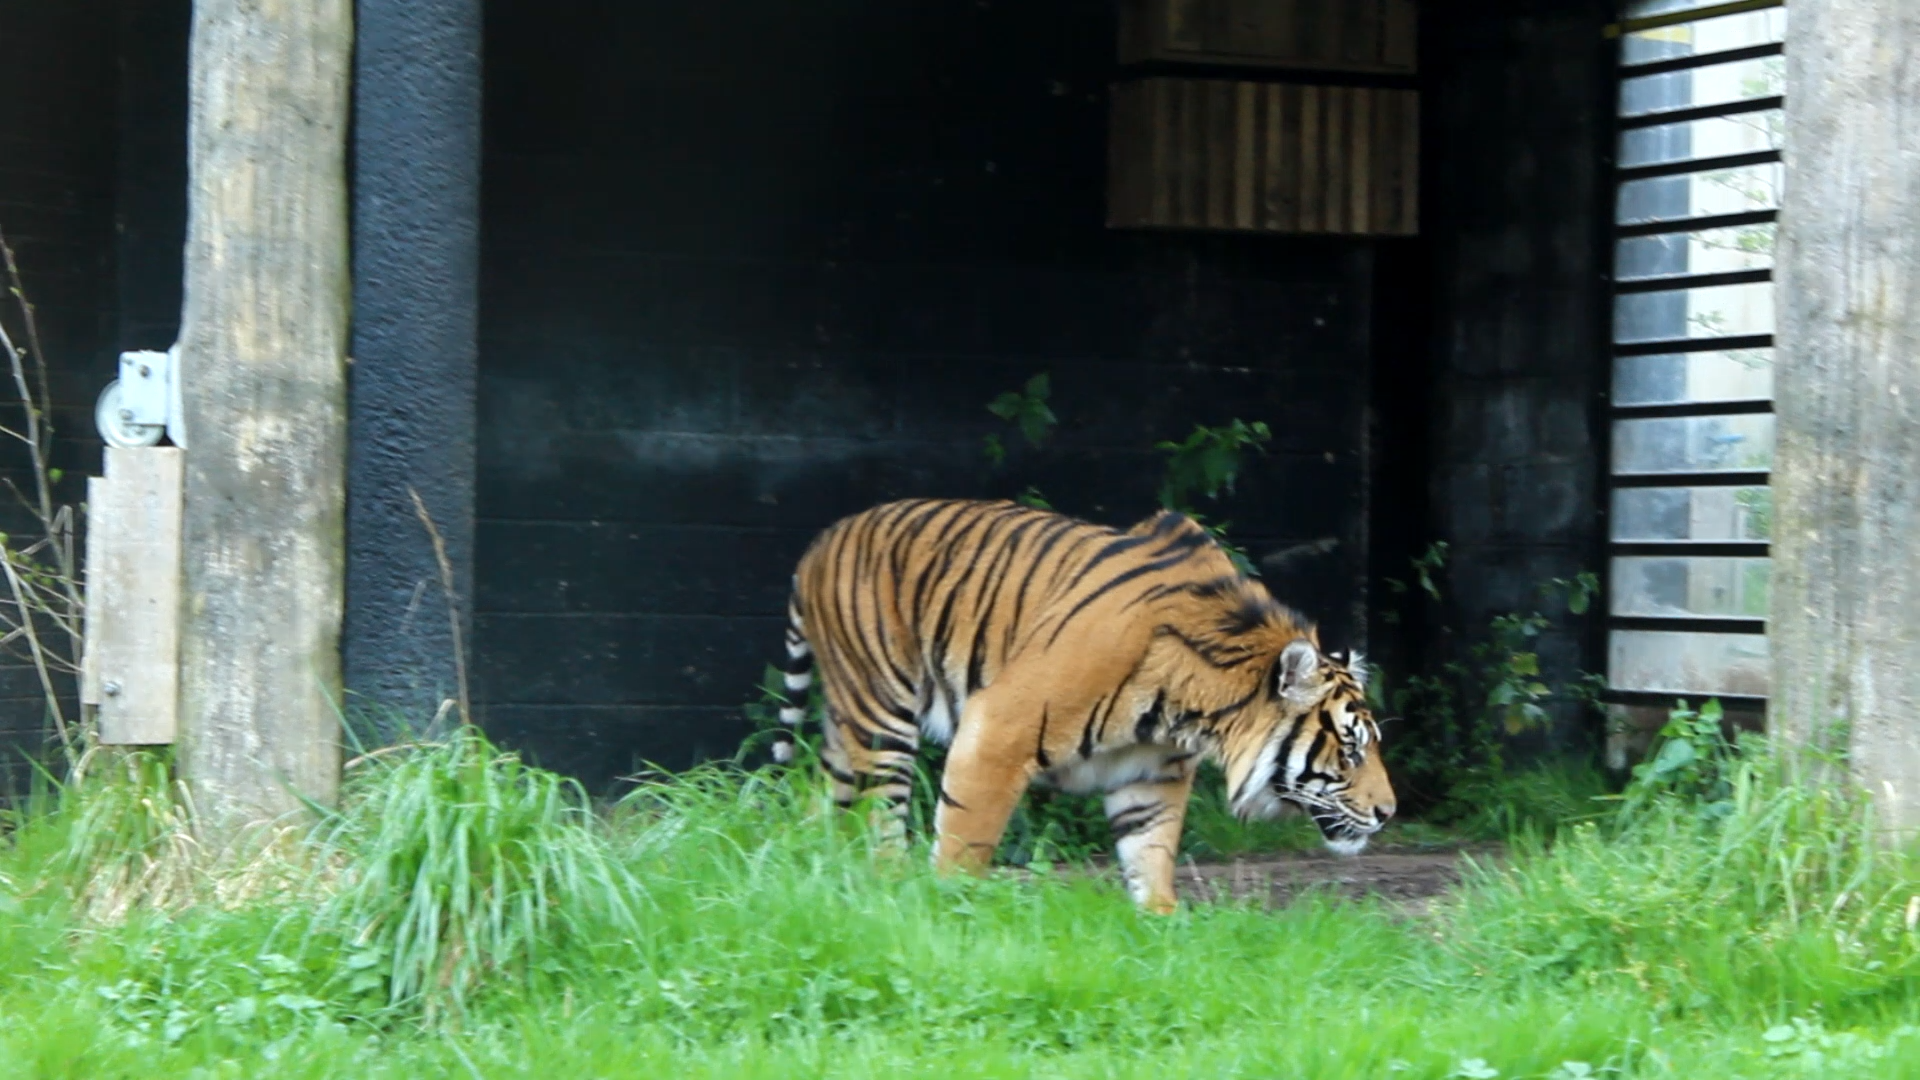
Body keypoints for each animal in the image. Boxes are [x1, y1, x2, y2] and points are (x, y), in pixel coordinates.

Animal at [768, 497, 1394, 913]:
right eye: (1351, 750)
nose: (1389, 813)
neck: (1192, 710)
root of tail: (818, 543)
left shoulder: (1151, 773)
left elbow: (1151, 852)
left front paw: (1163, 926)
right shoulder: (999, 727)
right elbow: (966, 837)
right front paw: (949, 905)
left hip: (847, 724)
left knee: (819, 803)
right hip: (880, 715)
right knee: (878, 818)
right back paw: (887, 888)